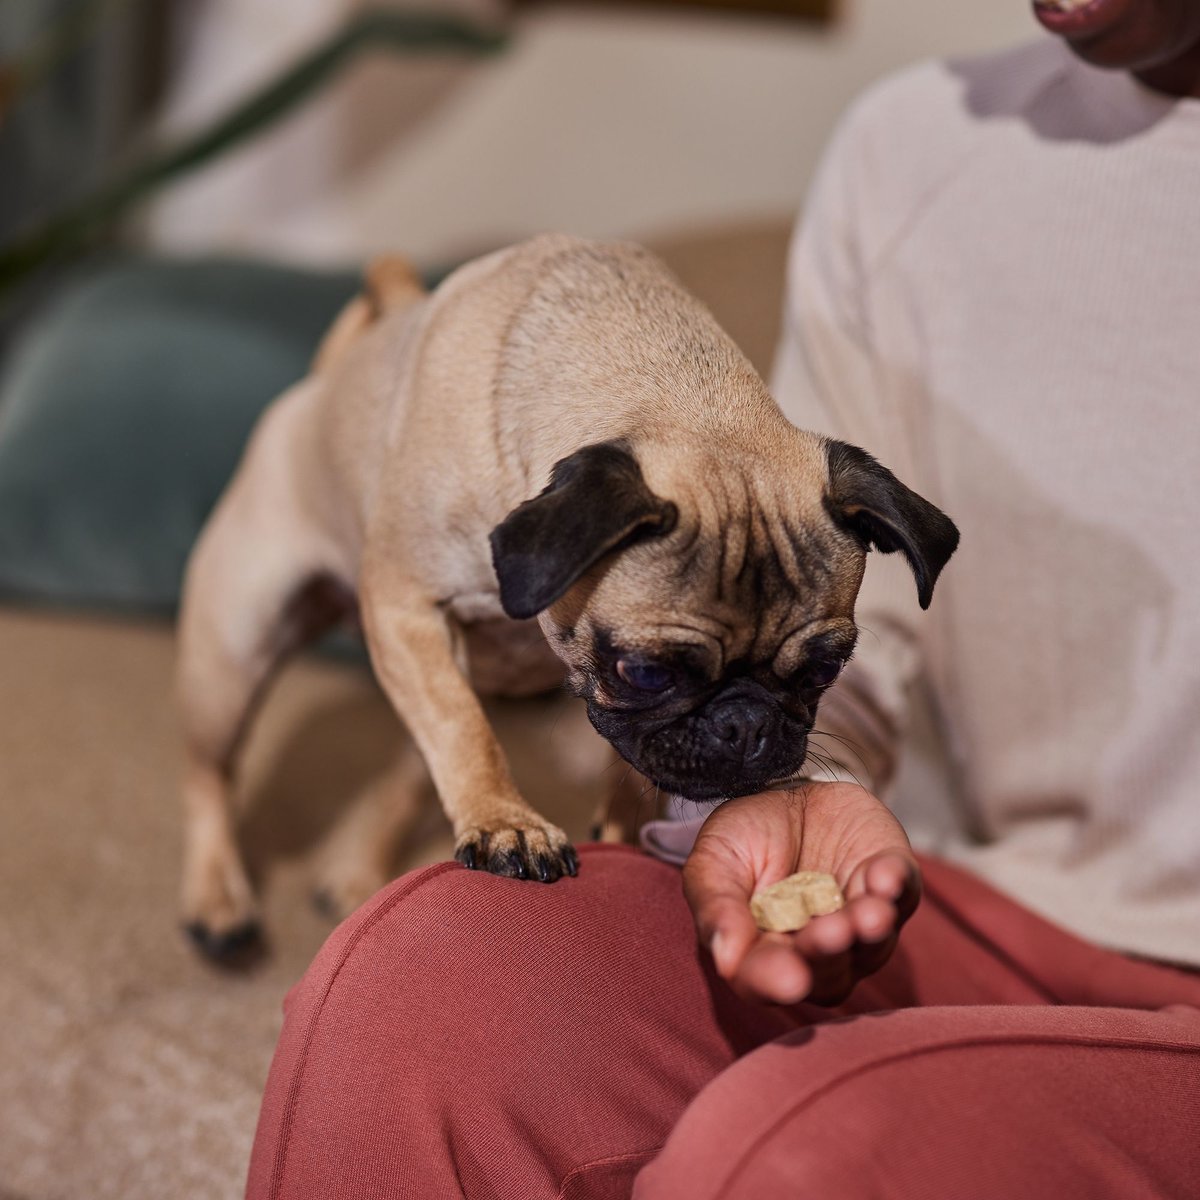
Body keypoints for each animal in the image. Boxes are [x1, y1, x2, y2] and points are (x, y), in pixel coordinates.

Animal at [175, 238, 955, 960]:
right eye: (646, 672)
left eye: (826, 671)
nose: (747, 723)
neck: (680, 396)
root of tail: (326, 376)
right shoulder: (406, 606)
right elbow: (463, 731)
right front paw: (505, 823)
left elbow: (603, 751)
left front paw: (618, 816)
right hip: (237, 654)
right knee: (213, 772)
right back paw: (217, 897)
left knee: (409, 767)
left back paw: (354, 867)